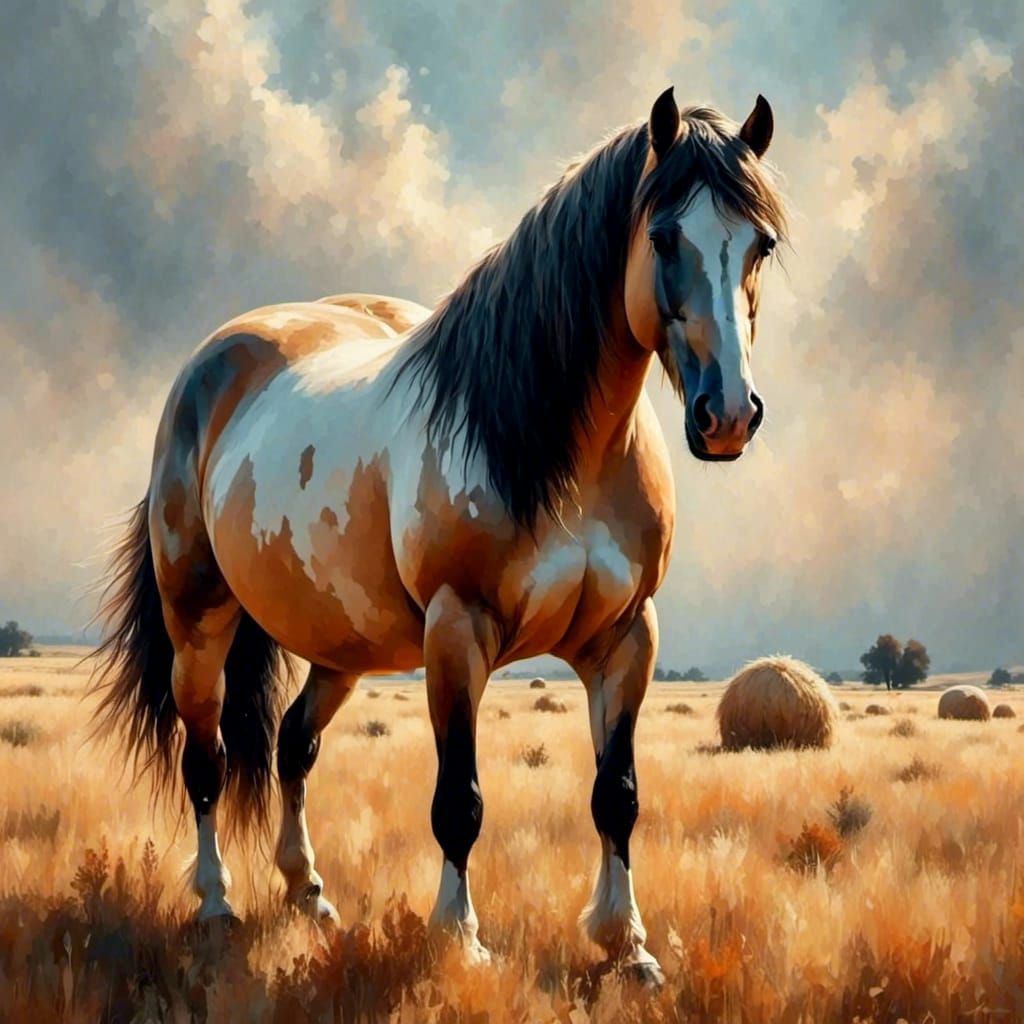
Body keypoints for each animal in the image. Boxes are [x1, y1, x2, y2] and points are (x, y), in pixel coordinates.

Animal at [91, 87, 786, 983]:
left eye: (760, 244)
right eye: (664, 237)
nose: (728, 415)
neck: (565, 453)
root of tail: (212, 363)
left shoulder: (627, 639)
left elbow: (617, 796)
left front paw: (626, 946)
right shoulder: (458, 632)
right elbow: (460, 800)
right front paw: (459, 939)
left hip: (341, 643)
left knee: (292, 748)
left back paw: (308, 893)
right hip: (198, 621)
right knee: (205, 760)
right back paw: (215, 904)